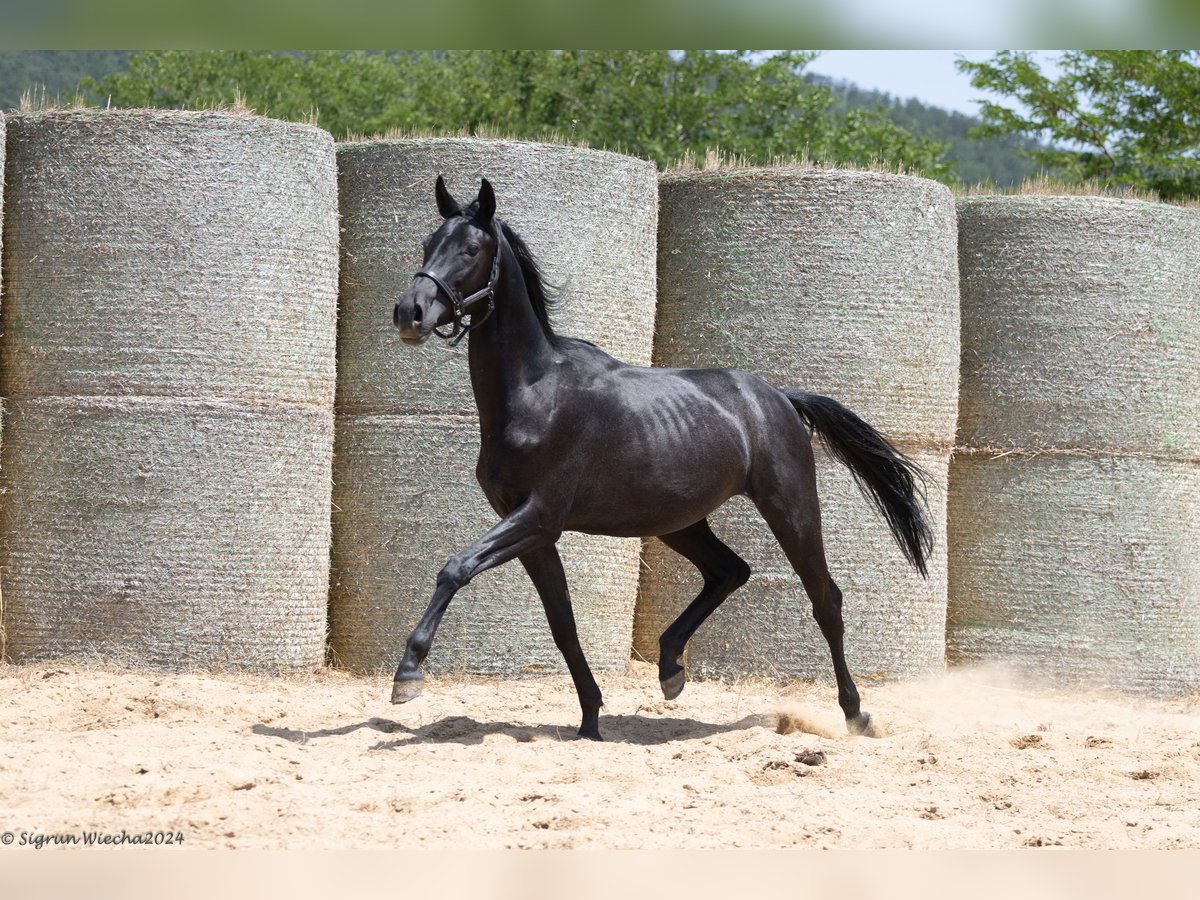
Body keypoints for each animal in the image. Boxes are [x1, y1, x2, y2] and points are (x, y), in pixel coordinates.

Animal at [388, 174, 931, 739]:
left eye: (471, 249)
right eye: (427, 244)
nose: (410, 312)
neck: (536, 393)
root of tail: (778, 397)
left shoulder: (538, 516)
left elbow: (456, 567)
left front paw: (408, 675)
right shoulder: (533, 532)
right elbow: (563, 624)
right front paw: (590, 720)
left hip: (791, 508)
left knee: (825, 598)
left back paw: (855, 713)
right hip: (679, 521)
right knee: (730, 571)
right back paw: (671, 667)